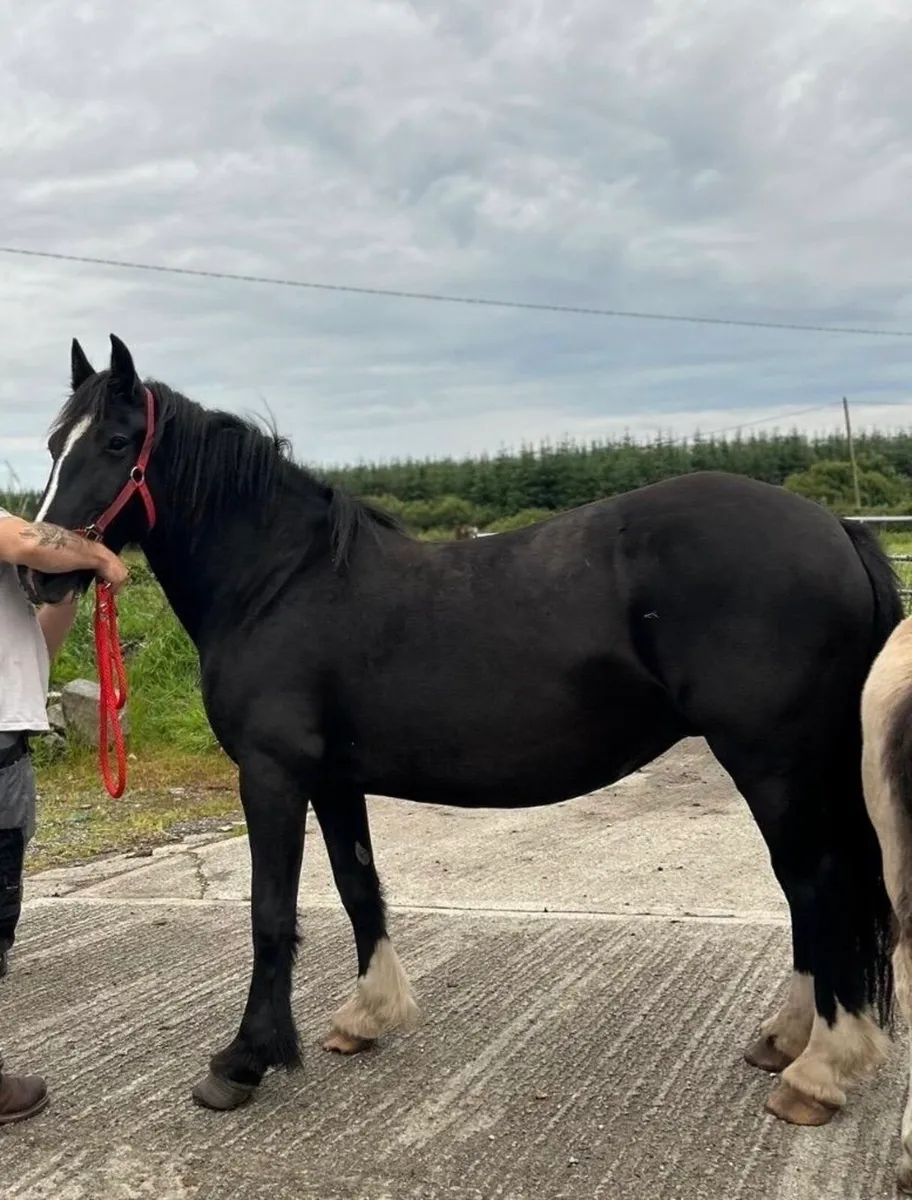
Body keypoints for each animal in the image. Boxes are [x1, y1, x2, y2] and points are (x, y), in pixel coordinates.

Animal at [27, 333, 902, 1128]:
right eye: (53, 444)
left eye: (115, 443)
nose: (39, 573)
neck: (279, 582)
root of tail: (836, 526)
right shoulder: (332, 778)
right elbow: (358, 887)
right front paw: (365, 1016)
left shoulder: (271, 773)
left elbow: (270, 913)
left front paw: (243, 1061)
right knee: (806, 888)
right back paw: (786, 1040)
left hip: (772, 759)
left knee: (817, 883)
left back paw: (818, 1071)